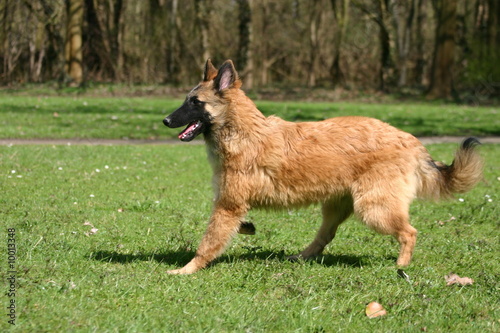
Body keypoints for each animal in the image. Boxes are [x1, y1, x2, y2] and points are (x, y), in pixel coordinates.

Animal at [162, 58, 482, 274]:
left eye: (194, 102)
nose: (165, 120)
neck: (241, 131)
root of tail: (410, 140)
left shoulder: (228, 205)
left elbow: (208, 242)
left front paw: (188, 269)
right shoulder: (231, 205)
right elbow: (229, 230)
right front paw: (246, 228)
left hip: (373, 209)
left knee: (409, 232)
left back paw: (401, 264)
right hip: (336, 207)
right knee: (325, 235)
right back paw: (301, 257)